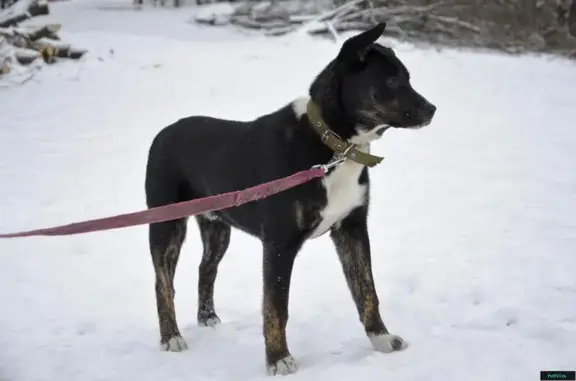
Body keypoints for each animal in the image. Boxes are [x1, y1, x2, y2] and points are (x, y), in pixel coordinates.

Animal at [145, 23, 436, 374]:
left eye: (407, 77)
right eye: (392, 81)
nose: (432, 110)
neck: (334, 148)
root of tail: (163, 133)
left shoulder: (352, 228)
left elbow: (367, 289)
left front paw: (381, 339)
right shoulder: (279, 244)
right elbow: (275, 306)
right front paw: (278, 358)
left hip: (217, 227)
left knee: (206, 268)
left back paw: (208, 317)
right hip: (166, 224)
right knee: (163, 282)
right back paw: (170, 337)